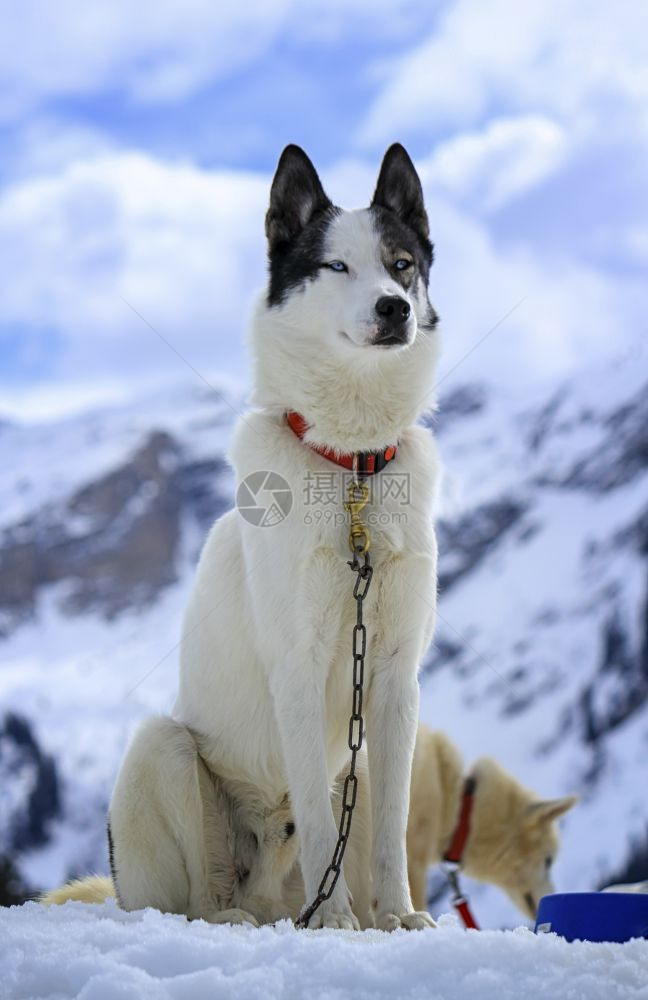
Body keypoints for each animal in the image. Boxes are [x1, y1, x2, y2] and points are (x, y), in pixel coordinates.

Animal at [107, 145, 440, 932]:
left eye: (402, 263)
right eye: (337, 266)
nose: (395, 307)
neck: (353, 467)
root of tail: (265, 898)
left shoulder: (394, 677)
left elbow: (391, 828)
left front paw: (399, 915)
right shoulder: (298, 663)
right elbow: (320, 822)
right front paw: (336, 922)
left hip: (358, 762)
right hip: (164, 750)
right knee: (200, 895)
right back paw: (253, 917)